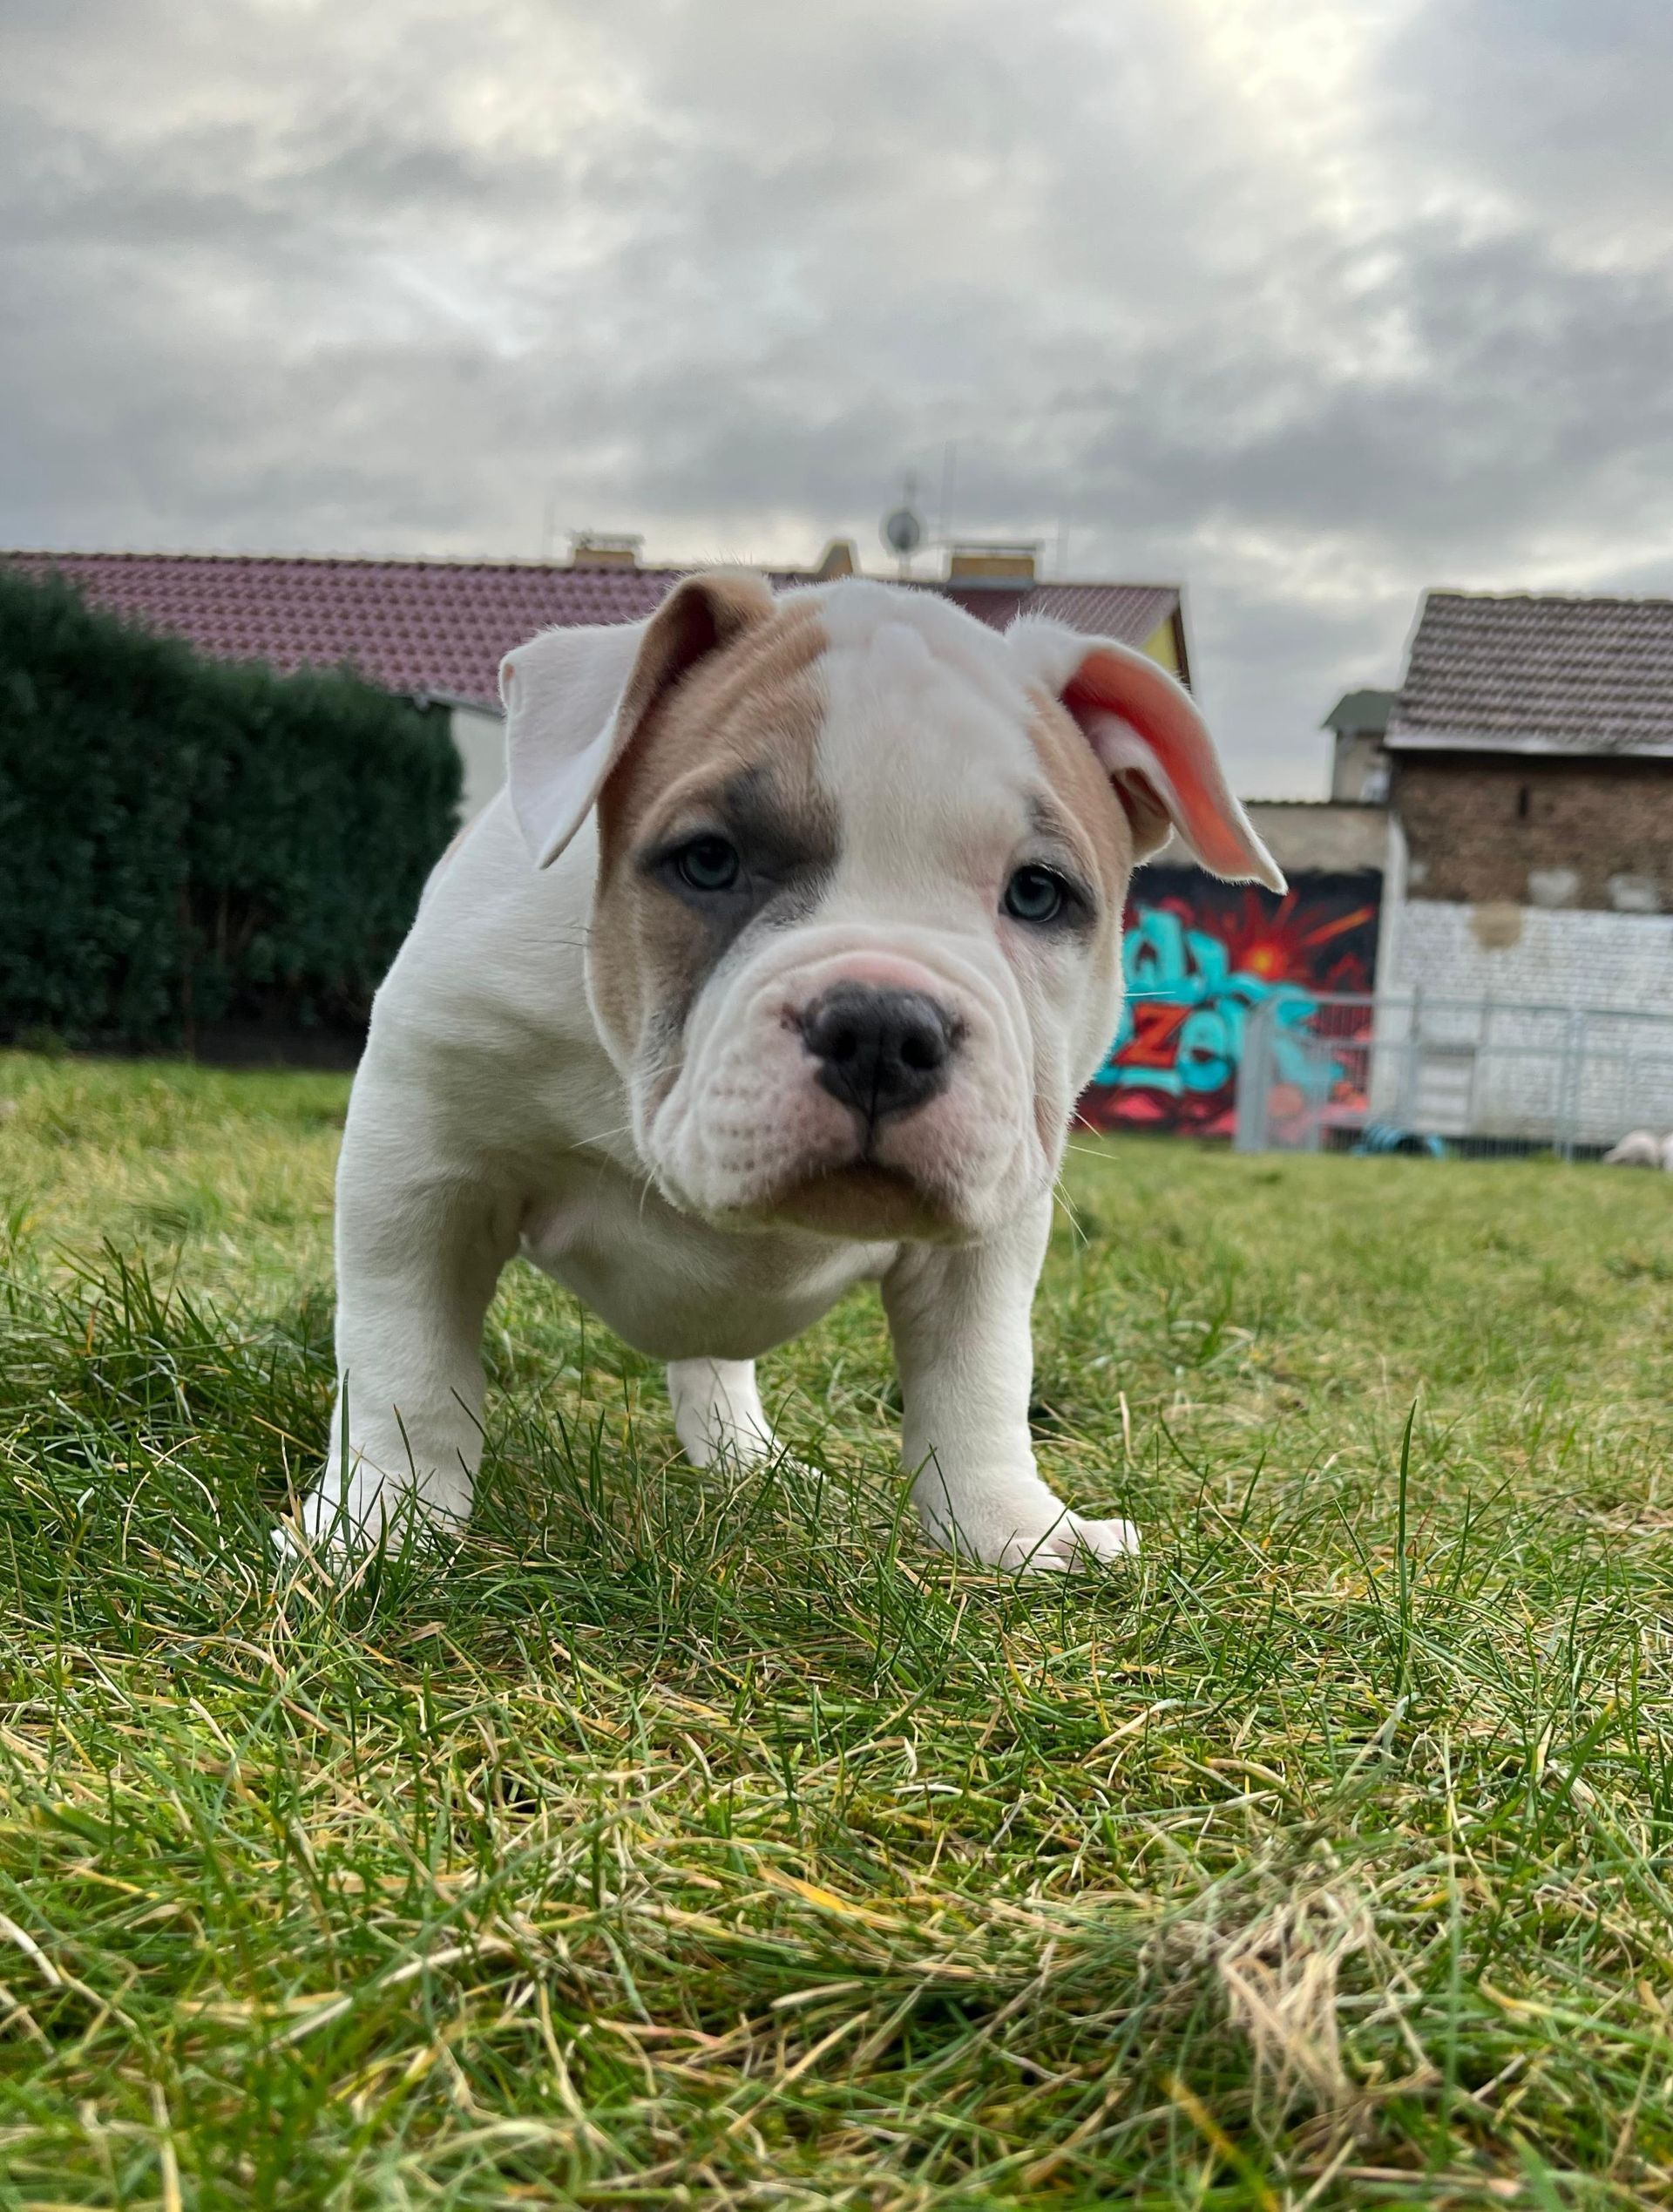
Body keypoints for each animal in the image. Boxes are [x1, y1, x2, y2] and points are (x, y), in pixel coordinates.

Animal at [300, 573, 1282, 1571]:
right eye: (708, 861)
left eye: (1039, 893)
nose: (883, 1029)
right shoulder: (422, 1173)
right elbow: (405, 1364)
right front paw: (385, 1525)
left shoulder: (992, 1234)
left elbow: (980, 1379)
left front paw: (1011, 1529)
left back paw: (750, 1464)